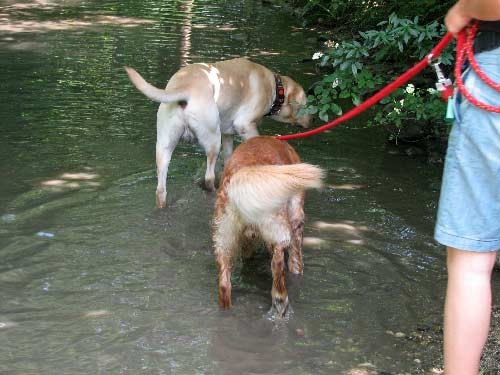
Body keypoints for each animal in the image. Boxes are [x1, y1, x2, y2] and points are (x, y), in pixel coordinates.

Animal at [124, 58, 308, 209]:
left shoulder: (227, 134)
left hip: (164, 147)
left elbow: (229, 159)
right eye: (306, 106)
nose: (312, 120)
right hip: (213, 140)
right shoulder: (245, 126)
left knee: (161, 190)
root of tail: (184, 87)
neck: (276, 88)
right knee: (208, 177)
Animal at [212, 136, 324, 318]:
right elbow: (295, 259)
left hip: (223, 238)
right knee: (278, 263)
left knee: (224, 285)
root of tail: (246, 173)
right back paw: (280, 301)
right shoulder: (296, 217)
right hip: (280, 227)